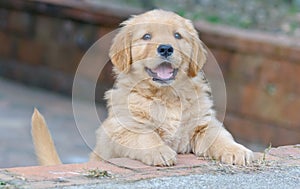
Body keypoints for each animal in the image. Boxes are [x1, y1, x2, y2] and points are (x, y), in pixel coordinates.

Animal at [89, 9, 253, 166]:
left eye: (177, 35)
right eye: (146, 36)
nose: (166, 49)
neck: (166, 96)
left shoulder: (203, 123)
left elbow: (219, 135)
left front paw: (236, 150)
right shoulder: (124, 127)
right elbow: (145, 136)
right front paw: (159, 152)